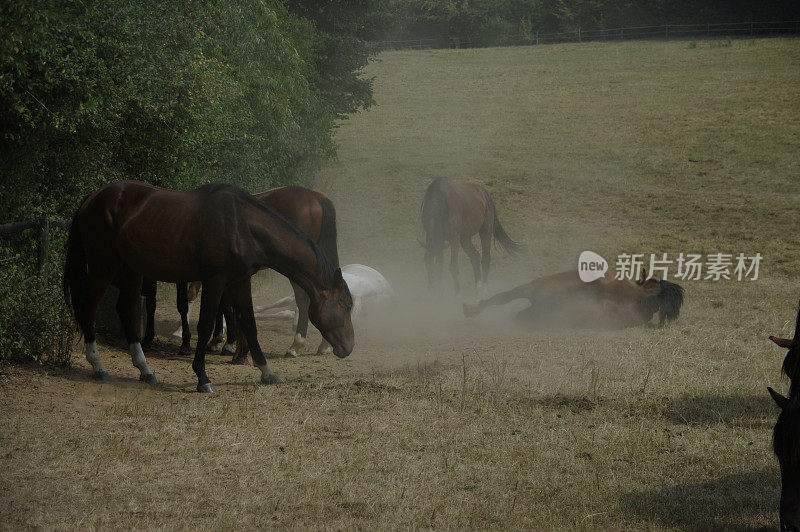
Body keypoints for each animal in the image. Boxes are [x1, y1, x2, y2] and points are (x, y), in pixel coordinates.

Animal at [62, 181, 350, 392]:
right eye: (346, 304)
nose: (348, 347)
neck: (241, 224)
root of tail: (93, 198)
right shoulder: (215, 279)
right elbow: (206, 321)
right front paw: (203, 376)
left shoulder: (240, 279)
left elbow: (249, 322)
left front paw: (265, 370)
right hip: (105, 266)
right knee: (88, 306)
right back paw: (98, 365)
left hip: (130, 269)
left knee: (127, 311)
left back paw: (144, 369)